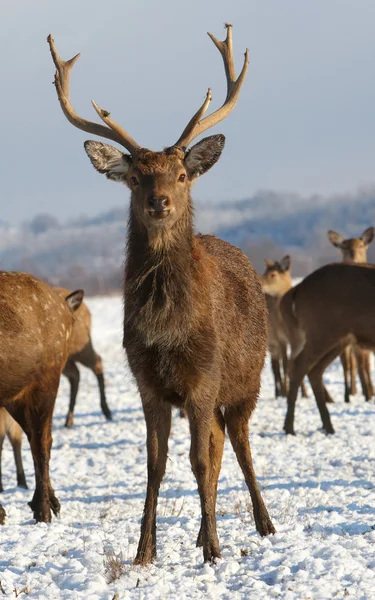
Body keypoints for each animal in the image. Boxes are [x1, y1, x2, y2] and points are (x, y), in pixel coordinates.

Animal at [0, 270, 83, 524]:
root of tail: (65, 308)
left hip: (46, 381)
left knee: (42, 441)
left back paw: (43, 510)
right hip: (15, 396)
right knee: (33, 436)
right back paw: (48, 502)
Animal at [55, 286, 111, 426]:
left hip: (81, 345)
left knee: (97, 361)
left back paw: (107, 411)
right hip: (66, 359)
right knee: (75, 374)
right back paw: (69, 419)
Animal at [280, 264, 375, 434]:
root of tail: (298, 288)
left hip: (339, 339)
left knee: (314, 370)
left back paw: (327, 426)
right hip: (322, 331)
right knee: (299, 366)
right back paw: (290, 427)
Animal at [328, 225, 374, 404]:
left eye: (361, 246)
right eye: (344, 247)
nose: (353, 256)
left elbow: (365, 364)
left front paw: (369, 392)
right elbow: (355, 365)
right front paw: (366, 393)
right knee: (349, 364)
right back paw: (351, 393)